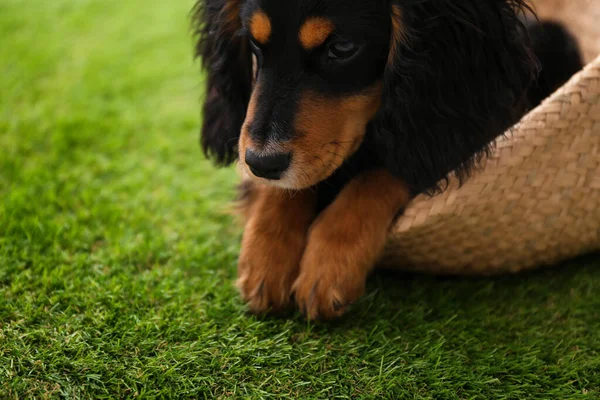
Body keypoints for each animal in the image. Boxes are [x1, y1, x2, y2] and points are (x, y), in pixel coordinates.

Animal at [192, 0, 580, 318]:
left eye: (342, 48)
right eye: (254, 43)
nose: (260, 161)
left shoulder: (455, 126)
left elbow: (385, 170)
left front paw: (329, 265)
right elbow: (288, 183)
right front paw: (265, 258)